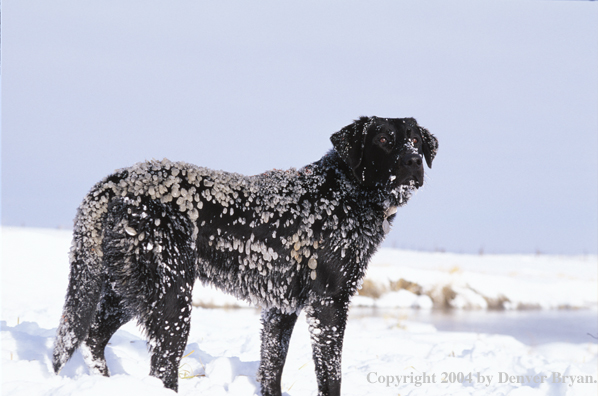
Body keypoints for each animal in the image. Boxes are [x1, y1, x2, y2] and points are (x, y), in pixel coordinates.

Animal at [54, 116, 438, 394]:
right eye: (384, 140)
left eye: (416, 140)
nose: (413, 161)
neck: (343, 193)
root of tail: (118, 179)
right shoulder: (329, 304)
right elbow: (331, 377)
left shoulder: (281, 309)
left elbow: (271, 370)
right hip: (173, 298)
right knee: (161, 367)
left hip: (128, 289)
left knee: (92, 337)